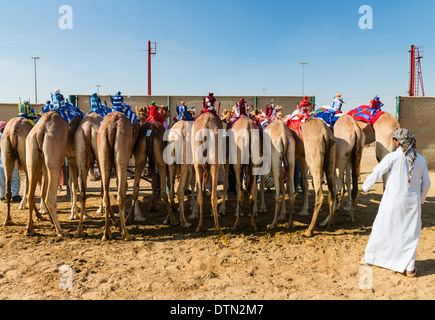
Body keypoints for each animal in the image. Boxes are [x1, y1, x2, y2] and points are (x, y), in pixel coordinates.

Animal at [98, 111, 140, 239]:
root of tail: (111, 127)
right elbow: (128, 186)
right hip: (122, 154)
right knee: (120, 195)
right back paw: (125, 233)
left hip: (103, 157)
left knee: (106, 196)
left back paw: (107, 234)